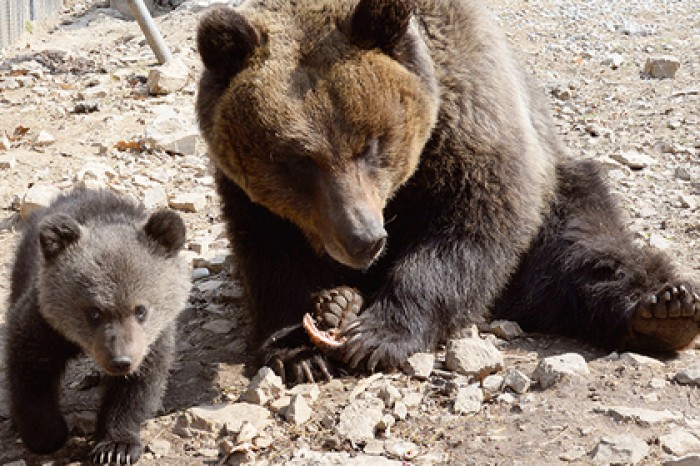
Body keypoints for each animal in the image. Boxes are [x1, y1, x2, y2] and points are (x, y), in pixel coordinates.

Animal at [196, 0, 700, 384]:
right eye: (297, 160)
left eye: (371, 143)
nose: (364, 239)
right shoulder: (256, 202)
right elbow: (272, 260)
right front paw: (298, 351)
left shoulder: (469, 116)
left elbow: (472, 222)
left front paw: (379, 335)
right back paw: (336, 306)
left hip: (558, 199)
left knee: (585, 250)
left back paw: (665, 308)